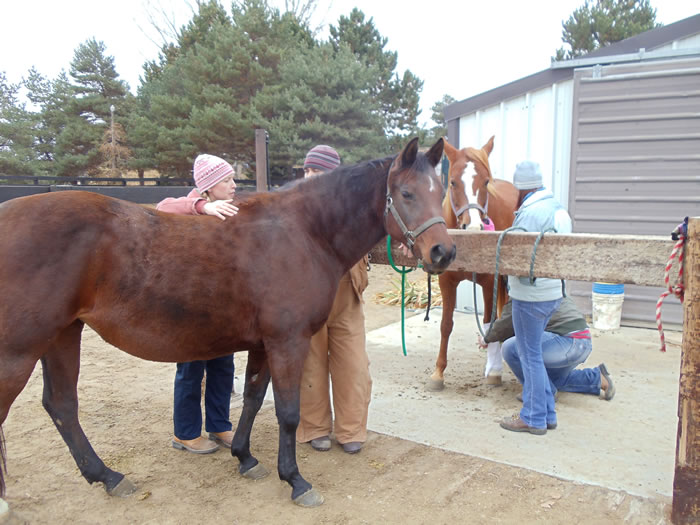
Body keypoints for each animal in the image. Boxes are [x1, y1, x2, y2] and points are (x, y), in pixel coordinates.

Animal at [0, 137, 454, 506]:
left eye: (442, 192)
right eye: (406, 192)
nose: (444, 253)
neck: (305, 232)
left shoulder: (263, 344)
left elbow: (253, 398)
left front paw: (245, 457)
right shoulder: (287, 341)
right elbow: (287, 411)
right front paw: (295, 481)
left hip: (62, 334)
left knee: (62, 405)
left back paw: (108, 476)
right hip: (19, 351)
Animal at [426, 137, 520, 390]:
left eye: (486, 181)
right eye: (452, 182)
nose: (474, 226)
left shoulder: (489, 284)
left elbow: (489, 322)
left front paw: (494, 371)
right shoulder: (446, 282)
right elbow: (445, 325)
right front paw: (438, 373)